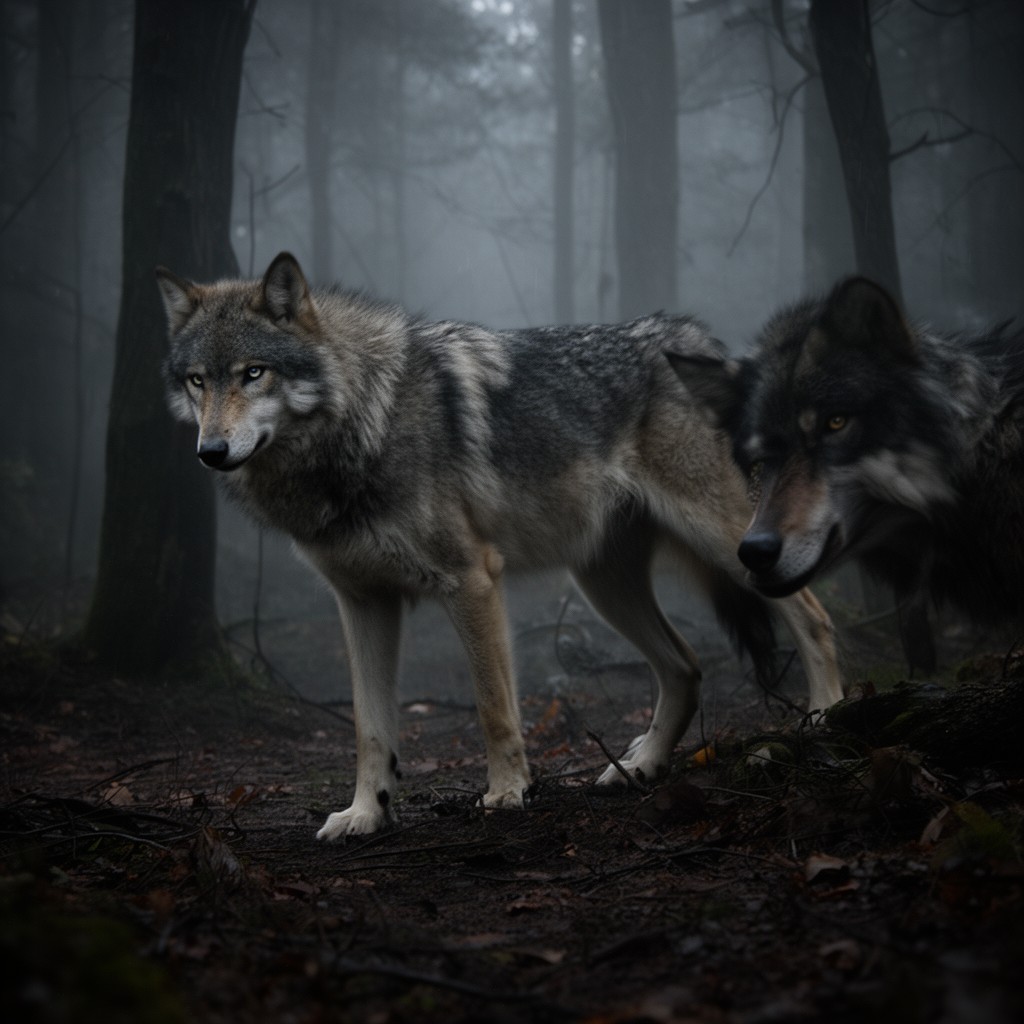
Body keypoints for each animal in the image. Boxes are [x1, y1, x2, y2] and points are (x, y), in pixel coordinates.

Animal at [156, 252, 844, 839]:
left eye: (253, 373)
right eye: (197, 381)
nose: (210, 451)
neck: (362, 423)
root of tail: (702, 341)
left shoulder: (472, 578)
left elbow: (493, 706)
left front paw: (509, 792)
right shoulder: (362, 602)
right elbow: (369, 728)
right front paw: (366, 814)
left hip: (729, 543)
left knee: (813, 615)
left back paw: (826, 717)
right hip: (603, 586)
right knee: (685, 666)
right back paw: (641, 766)